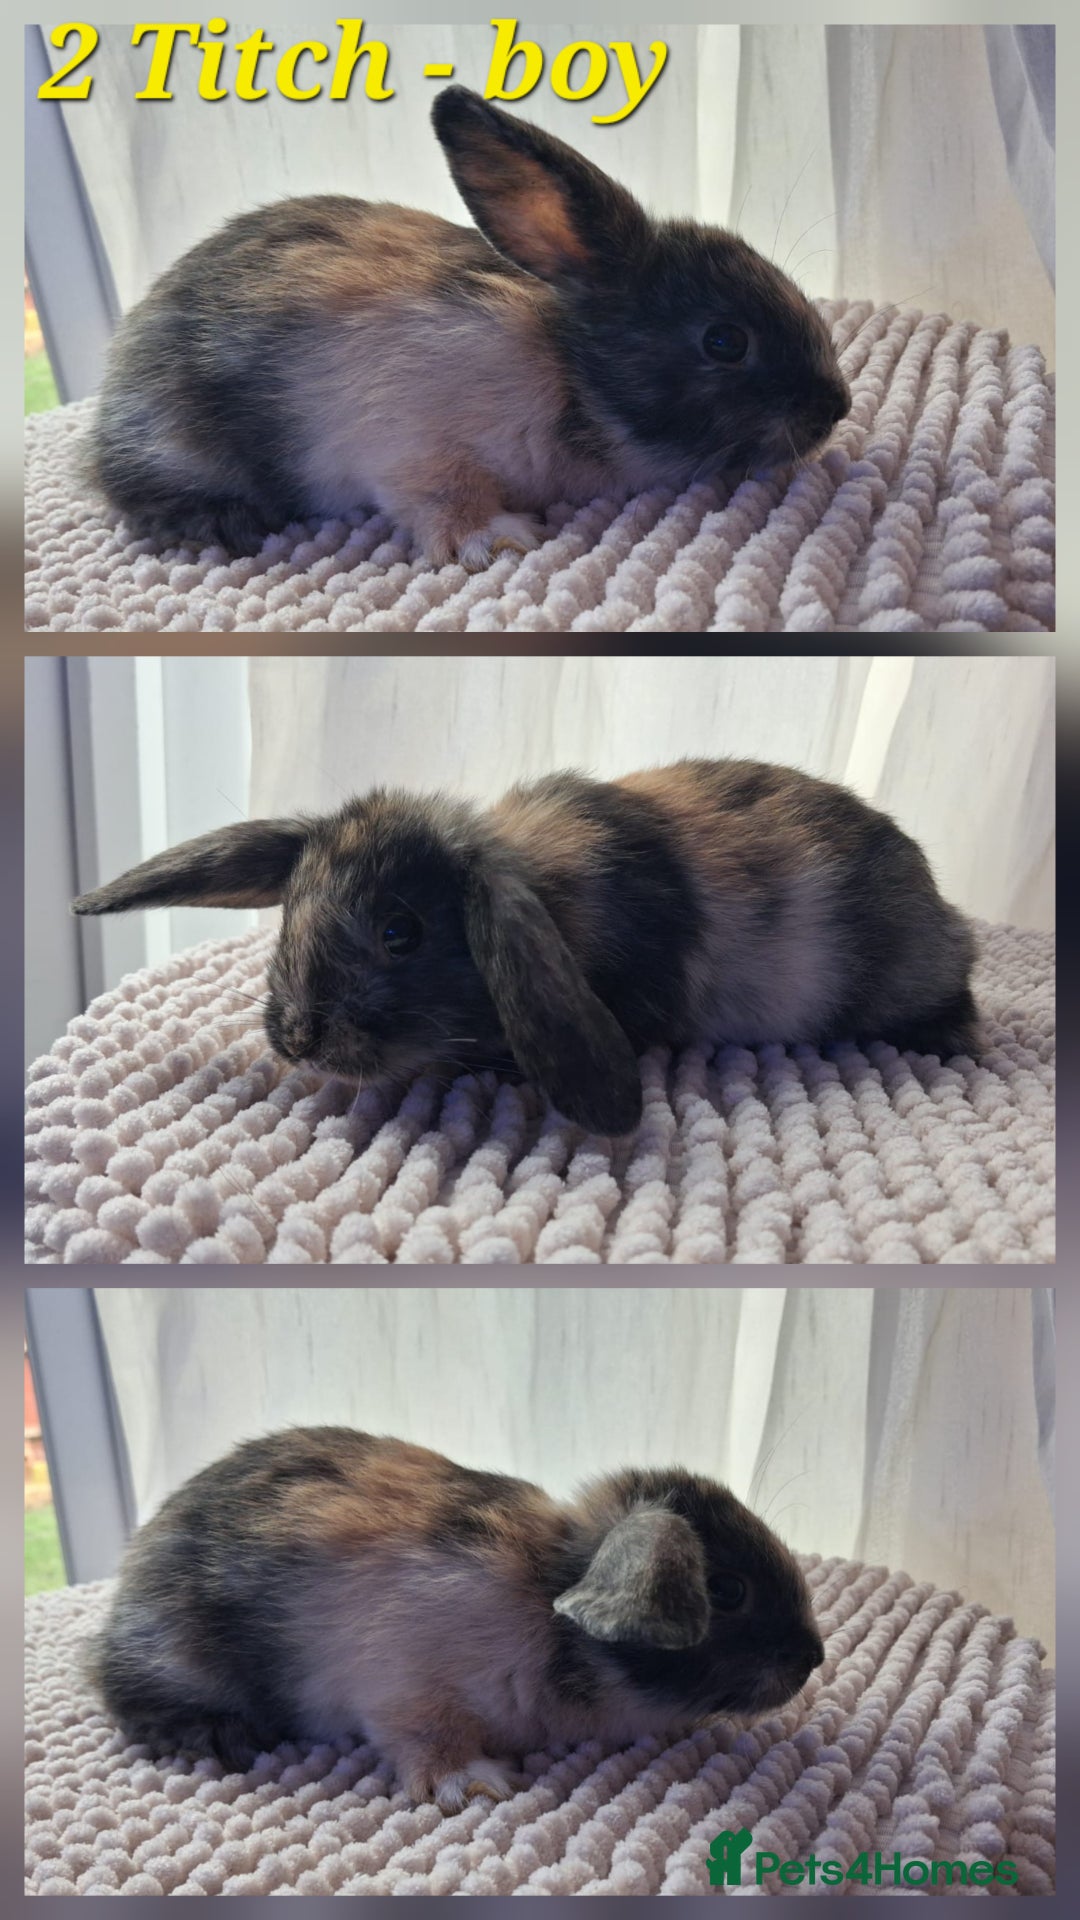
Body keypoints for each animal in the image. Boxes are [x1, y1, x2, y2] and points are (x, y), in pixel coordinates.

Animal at [86, 1425, 826, 1807]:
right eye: (726, 1590)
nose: (813, 1657)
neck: (550, 1608)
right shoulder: (403, 1690)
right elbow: (427, 1739)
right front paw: (472, 1786)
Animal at [87, 84, 850, 568]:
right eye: (725, 341)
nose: (836, 406)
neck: (574, 378)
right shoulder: (410, 443)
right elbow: (443, 496)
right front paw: (497, 539)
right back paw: (224, 520)